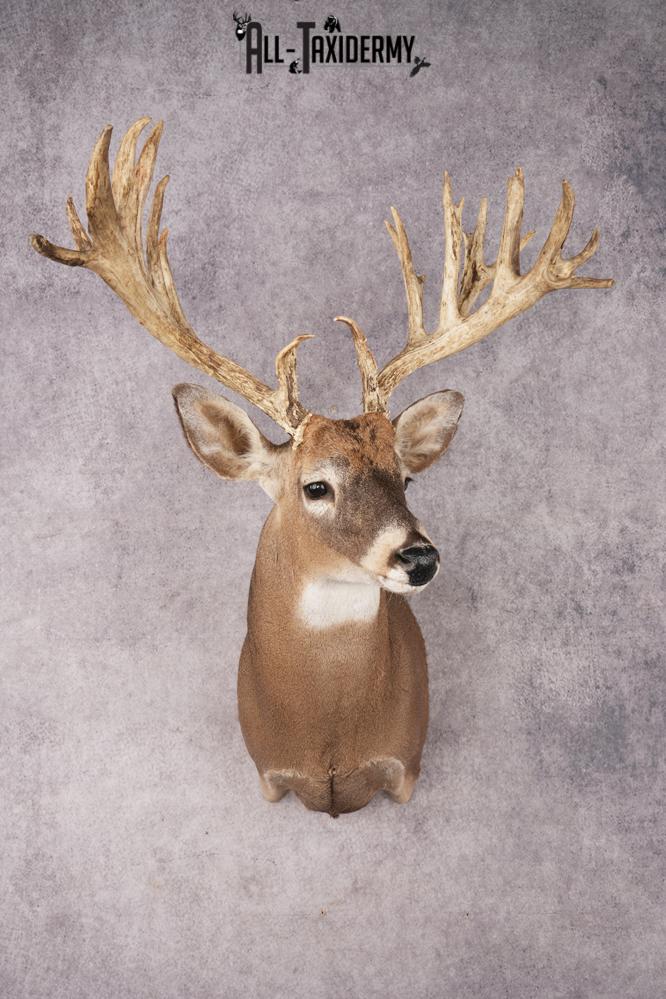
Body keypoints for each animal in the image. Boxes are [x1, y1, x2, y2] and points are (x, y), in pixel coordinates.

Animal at [30, 118, 613, 816]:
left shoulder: (405, 768)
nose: (419, 557)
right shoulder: (268, 775)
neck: (328, 734)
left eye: (406, 477)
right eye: (316, 485)